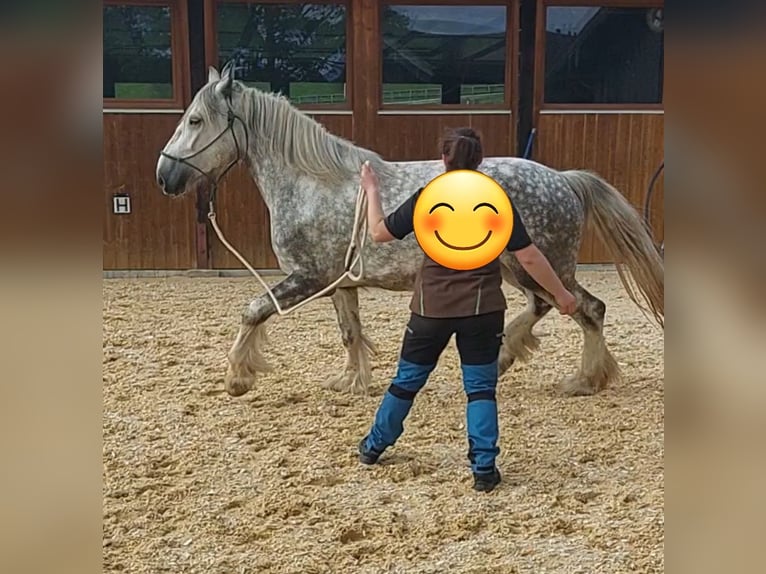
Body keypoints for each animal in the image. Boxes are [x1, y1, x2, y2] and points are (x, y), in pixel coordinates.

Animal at [156, 64, 664, 400]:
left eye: (196, 120)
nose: (165, 176)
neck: (313, 182)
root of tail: (564, 179)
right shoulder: (340, 284)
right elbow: (349, 332)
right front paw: (351, 381)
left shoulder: (307, 278)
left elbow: (253, 311)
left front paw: (237, 378)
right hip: (519, 269)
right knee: (549, 307)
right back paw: (508, 359)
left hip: (540, 265)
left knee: (587, 309)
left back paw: (583, 379)